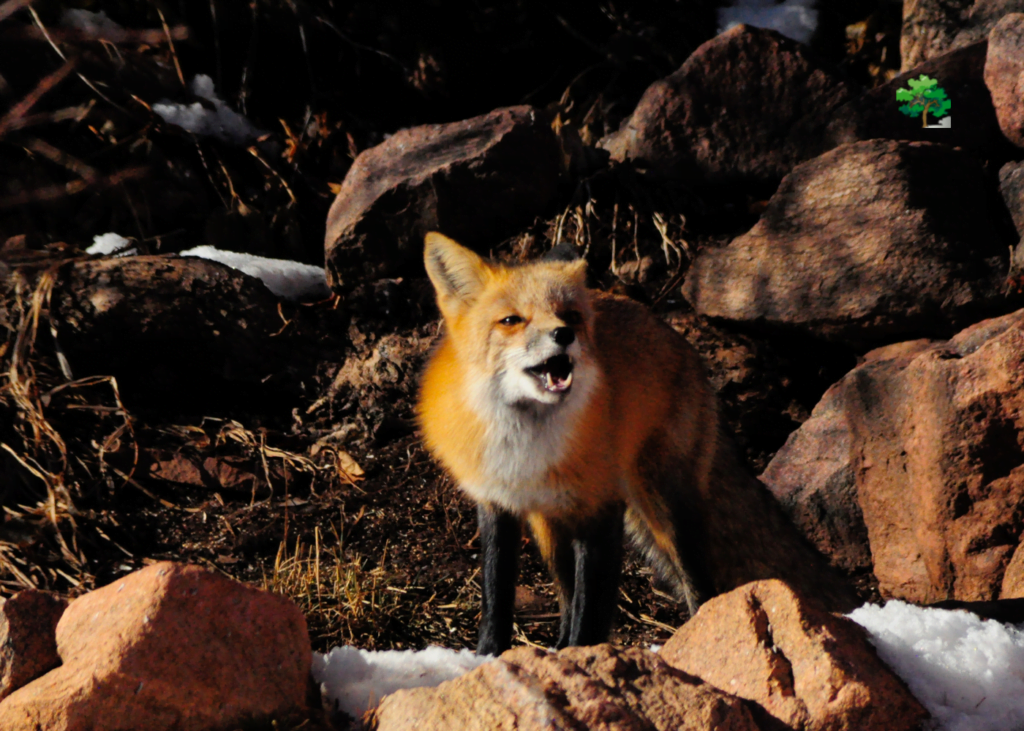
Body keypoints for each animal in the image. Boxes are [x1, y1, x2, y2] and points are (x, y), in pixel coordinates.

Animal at [415, 230, 720, 651]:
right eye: (511, 320)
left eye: (570, 315)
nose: (564, 334)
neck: (526, 449)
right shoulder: (496, 502)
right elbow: (496, 596)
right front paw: (489, 655)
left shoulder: (601, 507)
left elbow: (590, 612)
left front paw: (583, 657)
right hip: (550, 528)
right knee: (564, 594)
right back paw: (556, 647)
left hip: (663, 507)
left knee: (701, 585)